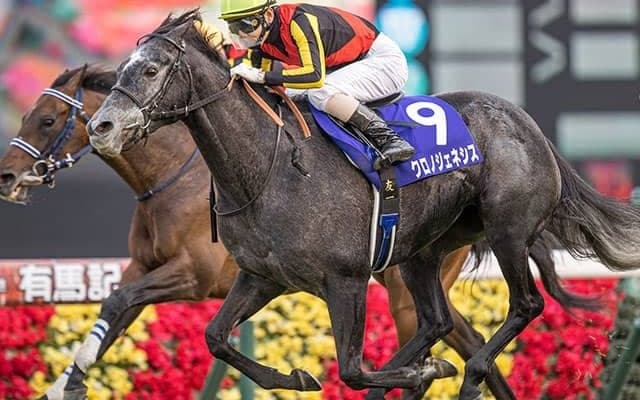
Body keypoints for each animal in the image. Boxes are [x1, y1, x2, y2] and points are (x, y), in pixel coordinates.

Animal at [0, 63, 566, 400]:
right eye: (28, 114)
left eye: (47, 119)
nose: (7, 176)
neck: (174, 177)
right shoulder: (146, 265)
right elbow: (115, 311)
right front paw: (67, 383)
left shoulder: (193, 276)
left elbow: (121, 305)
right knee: (459, 336)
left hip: (403, 285)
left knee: (454, 334)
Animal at [85, 10, 640, 399]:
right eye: (119, 71)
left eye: (151, 69)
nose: (101, 127)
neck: (266, 169)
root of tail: (527, 124)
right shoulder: (261, 276)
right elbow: (216, 337)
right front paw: (299, 378)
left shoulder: (345, 279)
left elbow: (351, 369)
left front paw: (414, 372)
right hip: (422, 252)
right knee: (438, 321)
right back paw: (424, 366)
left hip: (507, 231)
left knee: (525, 304)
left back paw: (465, 372)